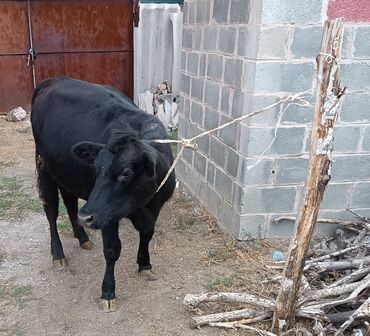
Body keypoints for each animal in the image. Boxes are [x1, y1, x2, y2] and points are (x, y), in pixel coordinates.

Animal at [31, 75, 176, 310]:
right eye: (97, 169)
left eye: (125, 173)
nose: (87, 216)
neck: (141, 206)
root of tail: (53, 80)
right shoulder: (107, 215)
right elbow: (112, 250)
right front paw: (108, 292)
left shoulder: (154, 208)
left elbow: (147, 234)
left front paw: (144, 265)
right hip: (44, 166)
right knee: (51, 210)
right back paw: (58, 254)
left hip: (67, 172)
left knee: (71, 202)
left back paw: (82, 237)